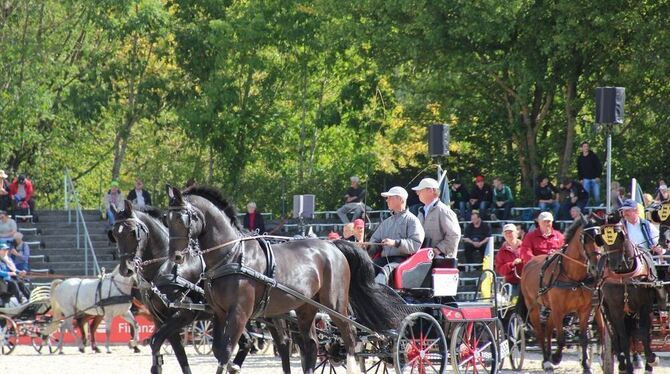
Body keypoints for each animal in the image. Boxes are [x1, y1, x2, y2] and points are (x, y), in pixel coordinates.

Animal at [110, 202, 294, 374]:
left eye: (132, 232)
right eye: (115, 234)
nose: (126, 269)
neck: (165, 266)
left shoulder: (184, 314)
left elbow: (156, 341)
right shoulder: (161, 319)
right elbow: (178, 353)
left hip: (271, 312)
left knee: (283, 342)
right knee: (249, 342)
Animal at [165, 185, 412, 374]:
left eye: (184, 219)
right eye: (167, 219)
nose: (175, 256)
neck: (232, 256)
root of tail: (333, 246)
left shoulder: (240, 313)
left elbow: (226, 352)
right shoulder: (219, 313)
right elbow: (219, 351)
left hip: (335, 304)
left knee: (350, 338)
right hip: (306, 308)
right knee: (311, 345)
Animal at [524, 216, 600, 374]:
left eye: (600, 238)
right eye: (584, 239)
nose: (595, 267)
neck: (573, 277)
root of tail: (529, 263)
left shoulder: (583, 310)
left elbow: (583, 339)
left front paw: (586, 365)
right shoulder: (559, 310)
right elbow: (560, 339)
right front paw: (556, 357)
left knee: (547, 329)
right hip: (533, 307)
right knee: (540, 333)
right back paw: (546, 361)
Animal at [592, 212, 660, 372]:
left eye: (619, 235)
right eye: (601, 238)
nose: (614, 264)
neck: (624, 274)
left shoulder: (645, 305)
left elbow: (644, 332)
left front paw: (651, 359)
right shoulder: (615, 309)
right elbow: (623, 338)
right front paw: (628, 366)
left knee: (638, 334)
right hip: (606, 311)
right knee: (616, 336)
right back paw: (622, 362)